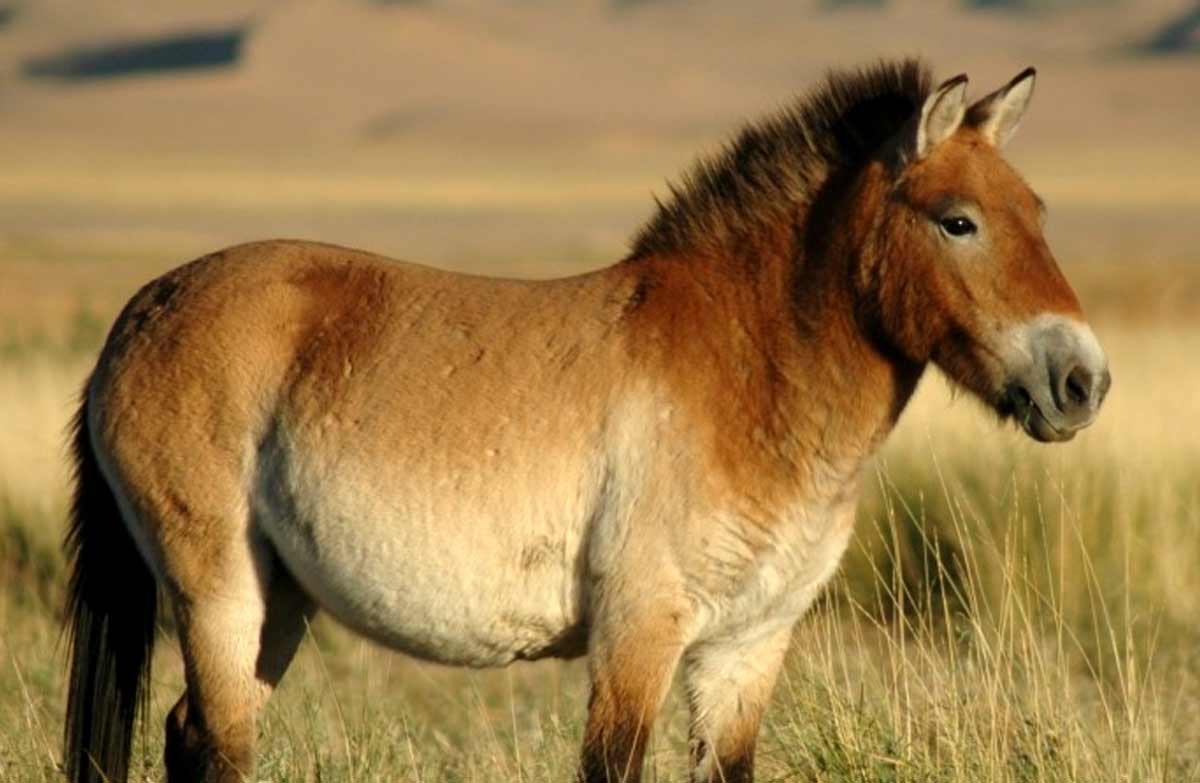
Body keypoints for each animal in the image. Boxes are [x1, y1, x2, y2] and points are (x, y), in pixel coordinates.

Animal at [62, 59, 1109, 783]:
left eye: (1039, 210)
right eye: (958, 220)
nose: (1082, 382)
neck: (747, 372)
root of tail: (142, 311)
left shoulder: (748, 646)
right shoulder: (639, 631)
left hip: (279, 601)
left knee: (191, 736)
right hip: (217, 591)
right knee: (217, 745)